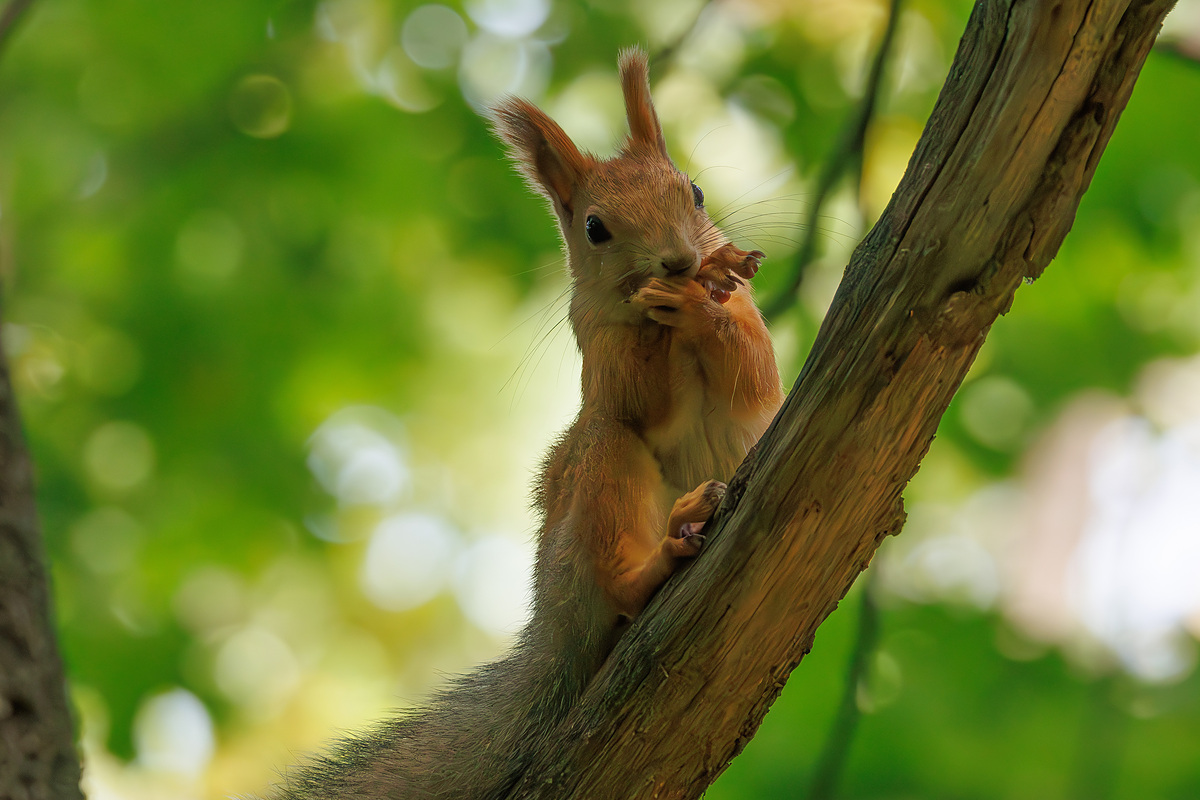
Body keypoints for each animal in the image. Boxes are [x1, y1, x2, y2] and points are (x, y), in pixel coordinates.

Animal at [267, 48, 783, 800]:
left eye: (694, 192)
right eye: (596, 228)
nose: (678, 261)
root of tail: (551, 630)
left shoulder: (750, 330)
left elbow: (751, 372)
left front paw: (702, 295)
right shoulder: (600, 356)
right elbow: (635, 398)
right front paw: (669, 309)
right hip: (597, 485)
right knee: (617, 546)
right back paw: (660, 554)